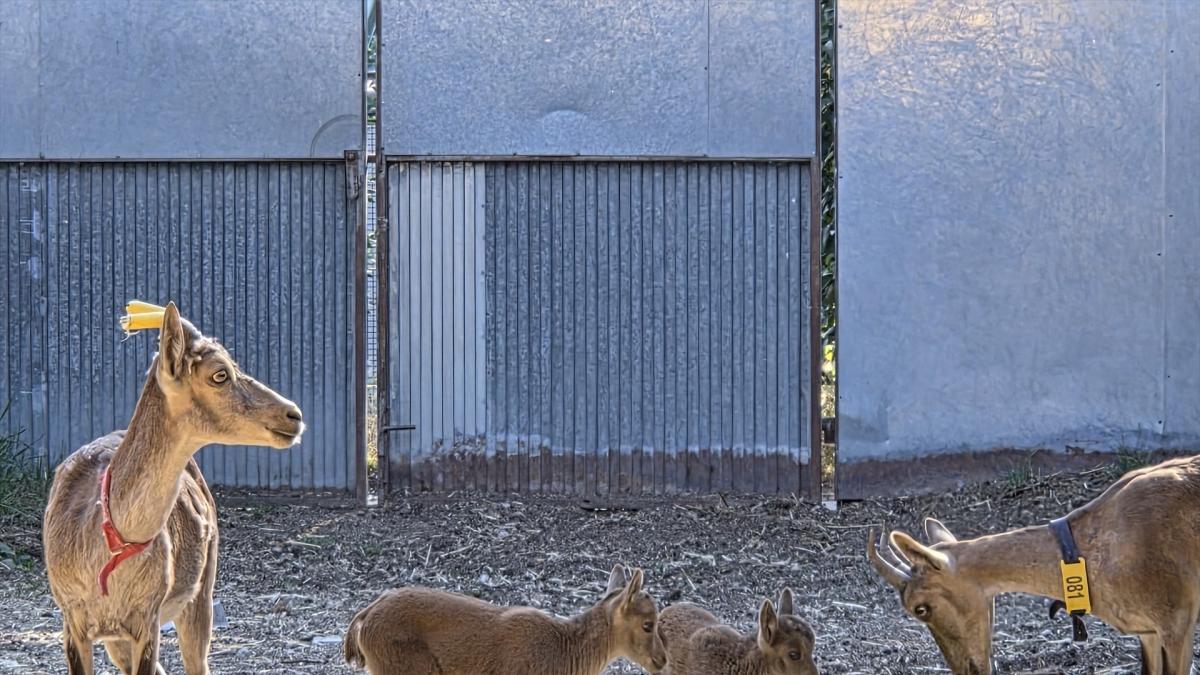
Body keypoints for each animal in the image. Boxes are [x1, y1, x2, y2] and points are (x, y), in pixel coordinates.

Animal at [42, 302, 303, 674]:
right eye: (220, 373)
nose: (293, 415)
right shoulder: (71, 616)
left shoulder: (147, 615)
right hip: (118, 637)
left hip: (201, 589)